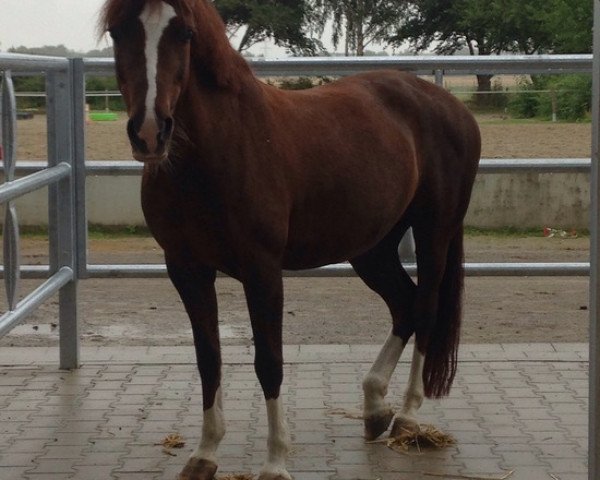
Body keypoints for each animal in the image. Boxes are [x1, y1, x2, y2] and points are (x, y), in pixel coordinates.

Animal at [101, 1, 480, 478]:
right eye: (117, 32)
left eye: (184, 33)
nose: (150, 132)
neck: (219, 149)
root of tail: (453, 108)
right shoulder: (186, 268)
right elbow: (209, 360)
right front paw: (205, 454)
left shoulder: (262, 269)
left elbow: (270, 362)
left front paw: (276, 461)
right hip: (371, 249)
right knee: (404, 305)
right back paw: (376, 406)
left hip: (434, 232)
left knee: (426, 309)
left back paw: (408, 417)